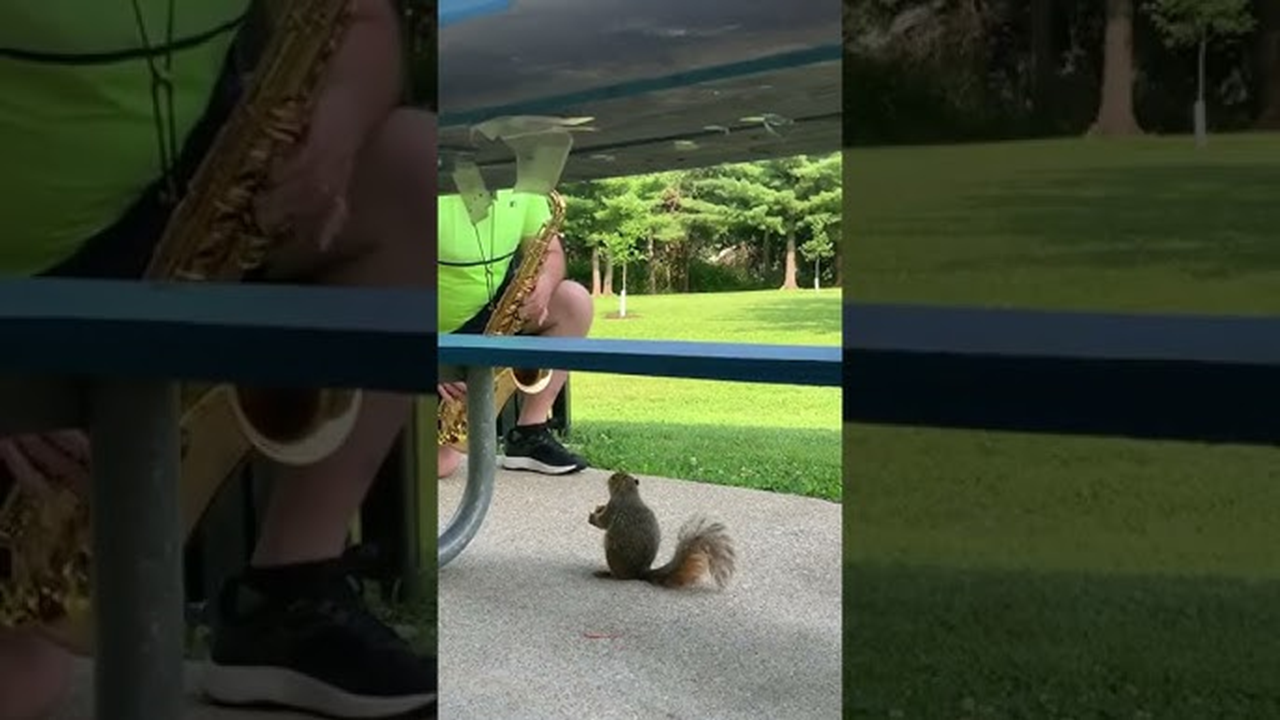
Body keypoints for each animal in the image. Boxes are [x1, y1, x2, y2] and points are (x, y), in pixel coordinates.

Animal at [587, 471, 736, 590]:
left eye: (614, 478)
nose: (609, 478)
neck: (628, 492)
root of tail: (640, 572)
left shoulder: (614, 505)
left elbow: (602, 522)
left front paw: (593, 516)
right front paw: (599, 507)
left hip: (612, 553)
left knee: (620, 576)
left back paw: (606, 574)